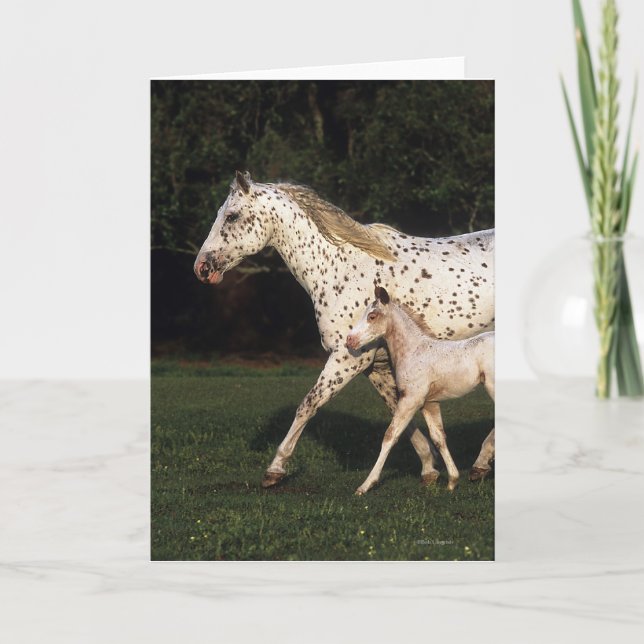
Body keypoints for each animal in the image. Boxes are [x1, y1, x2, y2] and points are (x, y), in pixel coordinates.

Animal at [346, 286, 495, 494]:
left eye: (372, 316)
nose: (349, 340)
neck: (414, 351)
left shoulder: (411, 399)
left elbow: (390, 436)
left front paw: (366, 485)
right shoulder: (429, 403)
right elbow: (438, 438)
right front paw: (452, 481)